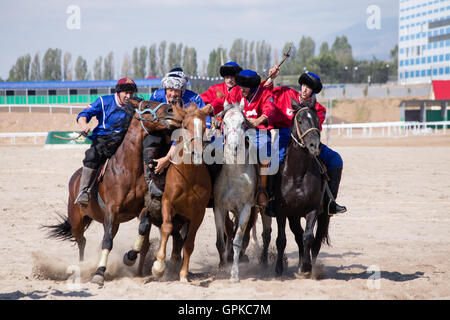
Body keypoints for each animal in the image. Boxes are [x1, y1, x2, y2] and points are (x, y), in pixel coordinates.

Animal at [44, 99, 179, 284]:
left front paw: (130, 256)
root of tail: (75, 178)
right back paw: (82, 267)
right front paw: (99, 273)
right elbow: (107, 242)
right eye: (146, 106)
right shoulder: (112, 209)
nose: (172, 109)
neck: (128, 169)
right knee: (81, 240)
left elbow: (143, 229)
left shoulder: (142, 208)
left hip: (111, 222)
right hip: (77, 221)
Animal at [150, 102, 212, 282]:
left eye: (204, 127)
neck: (189, 178)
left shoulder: (198, 213)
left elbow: (189, 243)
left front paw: (183, 274)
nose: (196, 152)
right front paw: (158, 266)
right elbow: (166, 228)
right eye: (185, 126)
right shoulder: (167, 203)